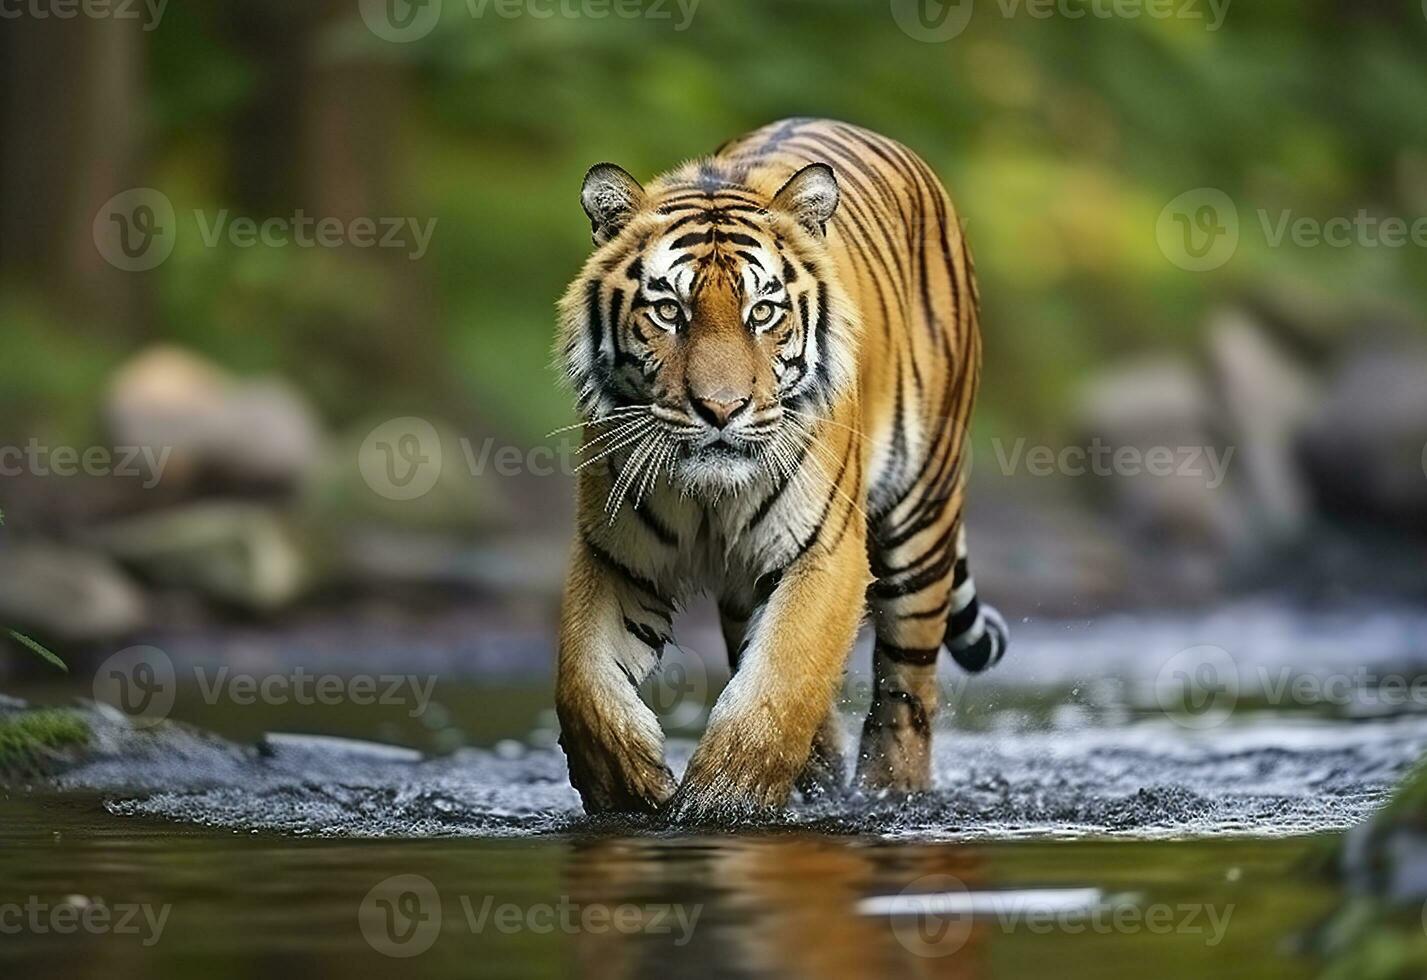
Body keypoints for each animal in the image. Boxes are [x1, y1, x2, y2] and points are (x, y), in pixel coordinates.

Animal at [550, 116, 1010, 821]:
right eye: (669, 311)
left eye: (762, 312)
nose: (720, 409)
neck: (710, 495)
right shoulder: (615, 554)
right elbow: (583, 682)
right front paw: (630, 788)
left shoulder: (826, 552)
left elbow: (782, 678)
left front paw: (723, 802)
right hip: (747, 587)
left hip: (922, 518)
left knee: (907, 689)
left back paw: (891, 792)